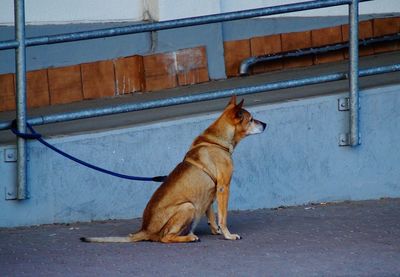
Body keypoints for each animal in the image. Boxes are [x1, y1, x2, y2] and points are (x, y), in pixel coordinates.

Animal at [81, 96, 266, 243]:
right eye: (251, 119)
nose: (265, 124)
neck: (216, 141)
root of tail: (144, 231)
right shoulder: (223, 188)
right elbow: (223, 217)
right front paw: (228, 235)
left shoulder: (211, 192)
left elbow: (212, 215)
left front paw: (216, 231)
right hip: (187, 207)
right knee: (165, 238)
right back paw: (189, 237)